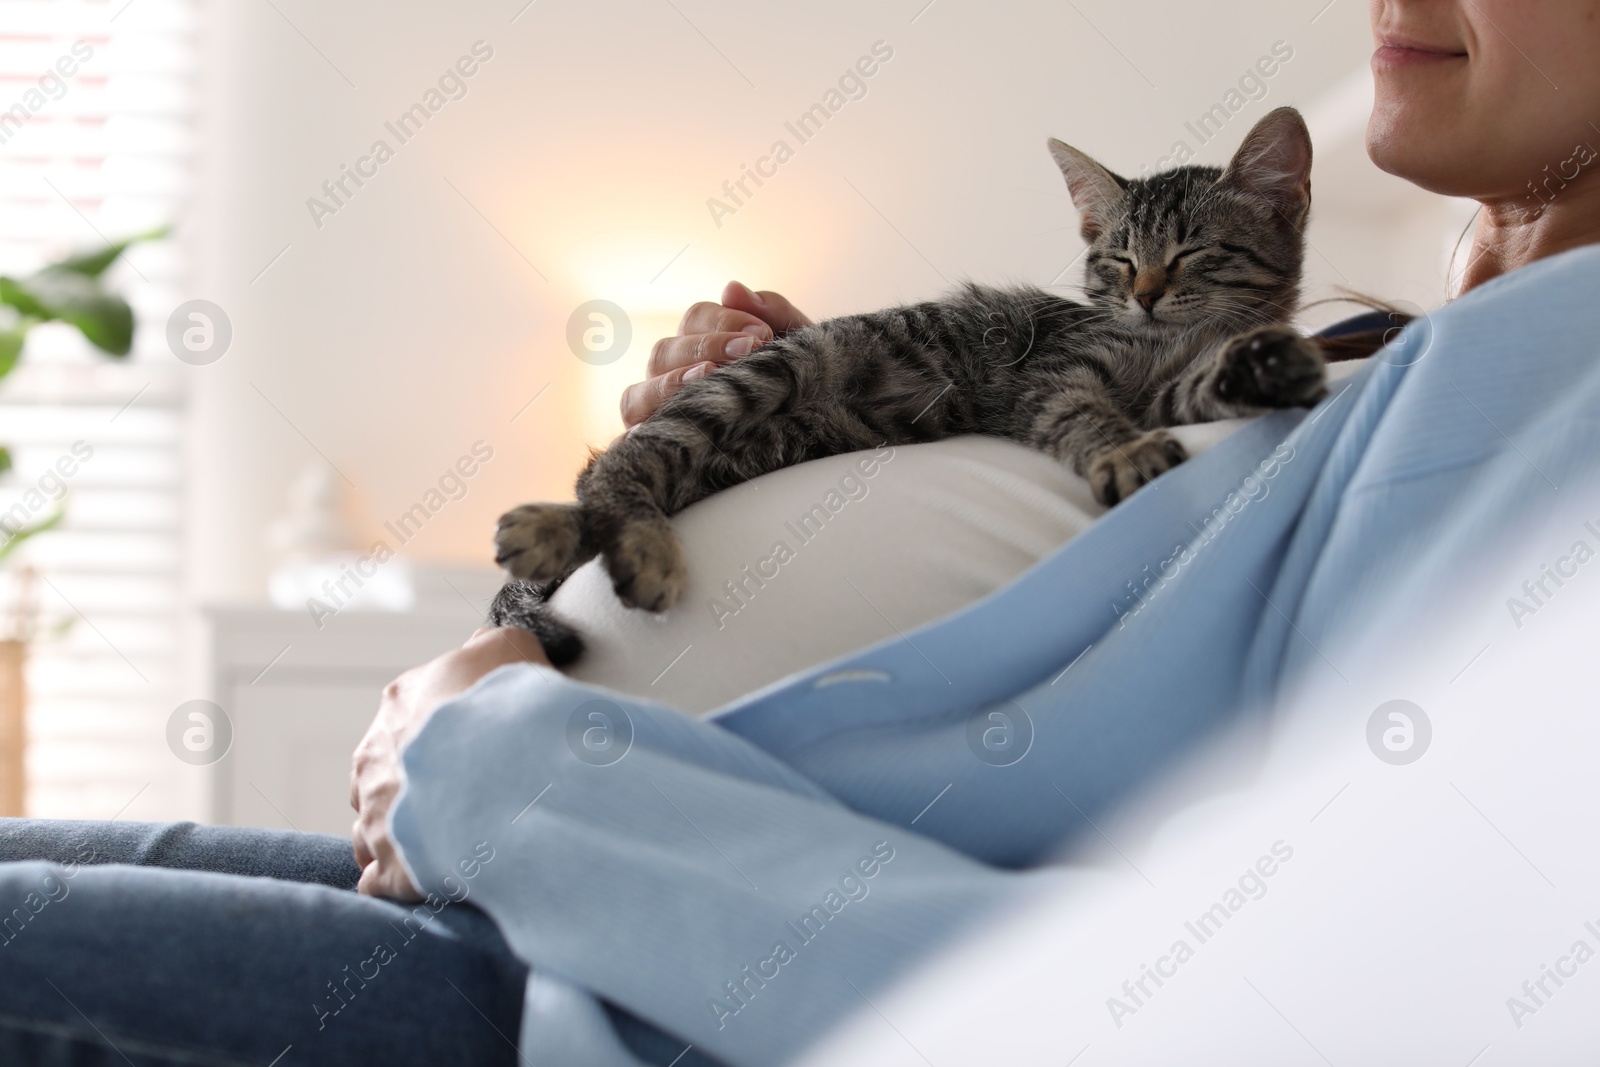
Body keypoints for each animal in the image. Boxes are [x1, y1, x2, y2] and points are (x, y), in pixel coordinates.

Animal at [486, 108, 1324, 659]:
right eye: (1118, 260)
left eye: (1191, 252)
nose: (1146, 294)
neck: (1170, 336)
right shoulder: (1055, 375)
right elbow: (1082, 412)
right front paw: (1123, 452)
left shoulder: (1164, 389)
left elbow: (1197, 387)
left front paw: (1269, 365)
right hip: (773, 371)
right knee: (618, 462)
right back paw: (613, 539)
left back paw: (566, 533)